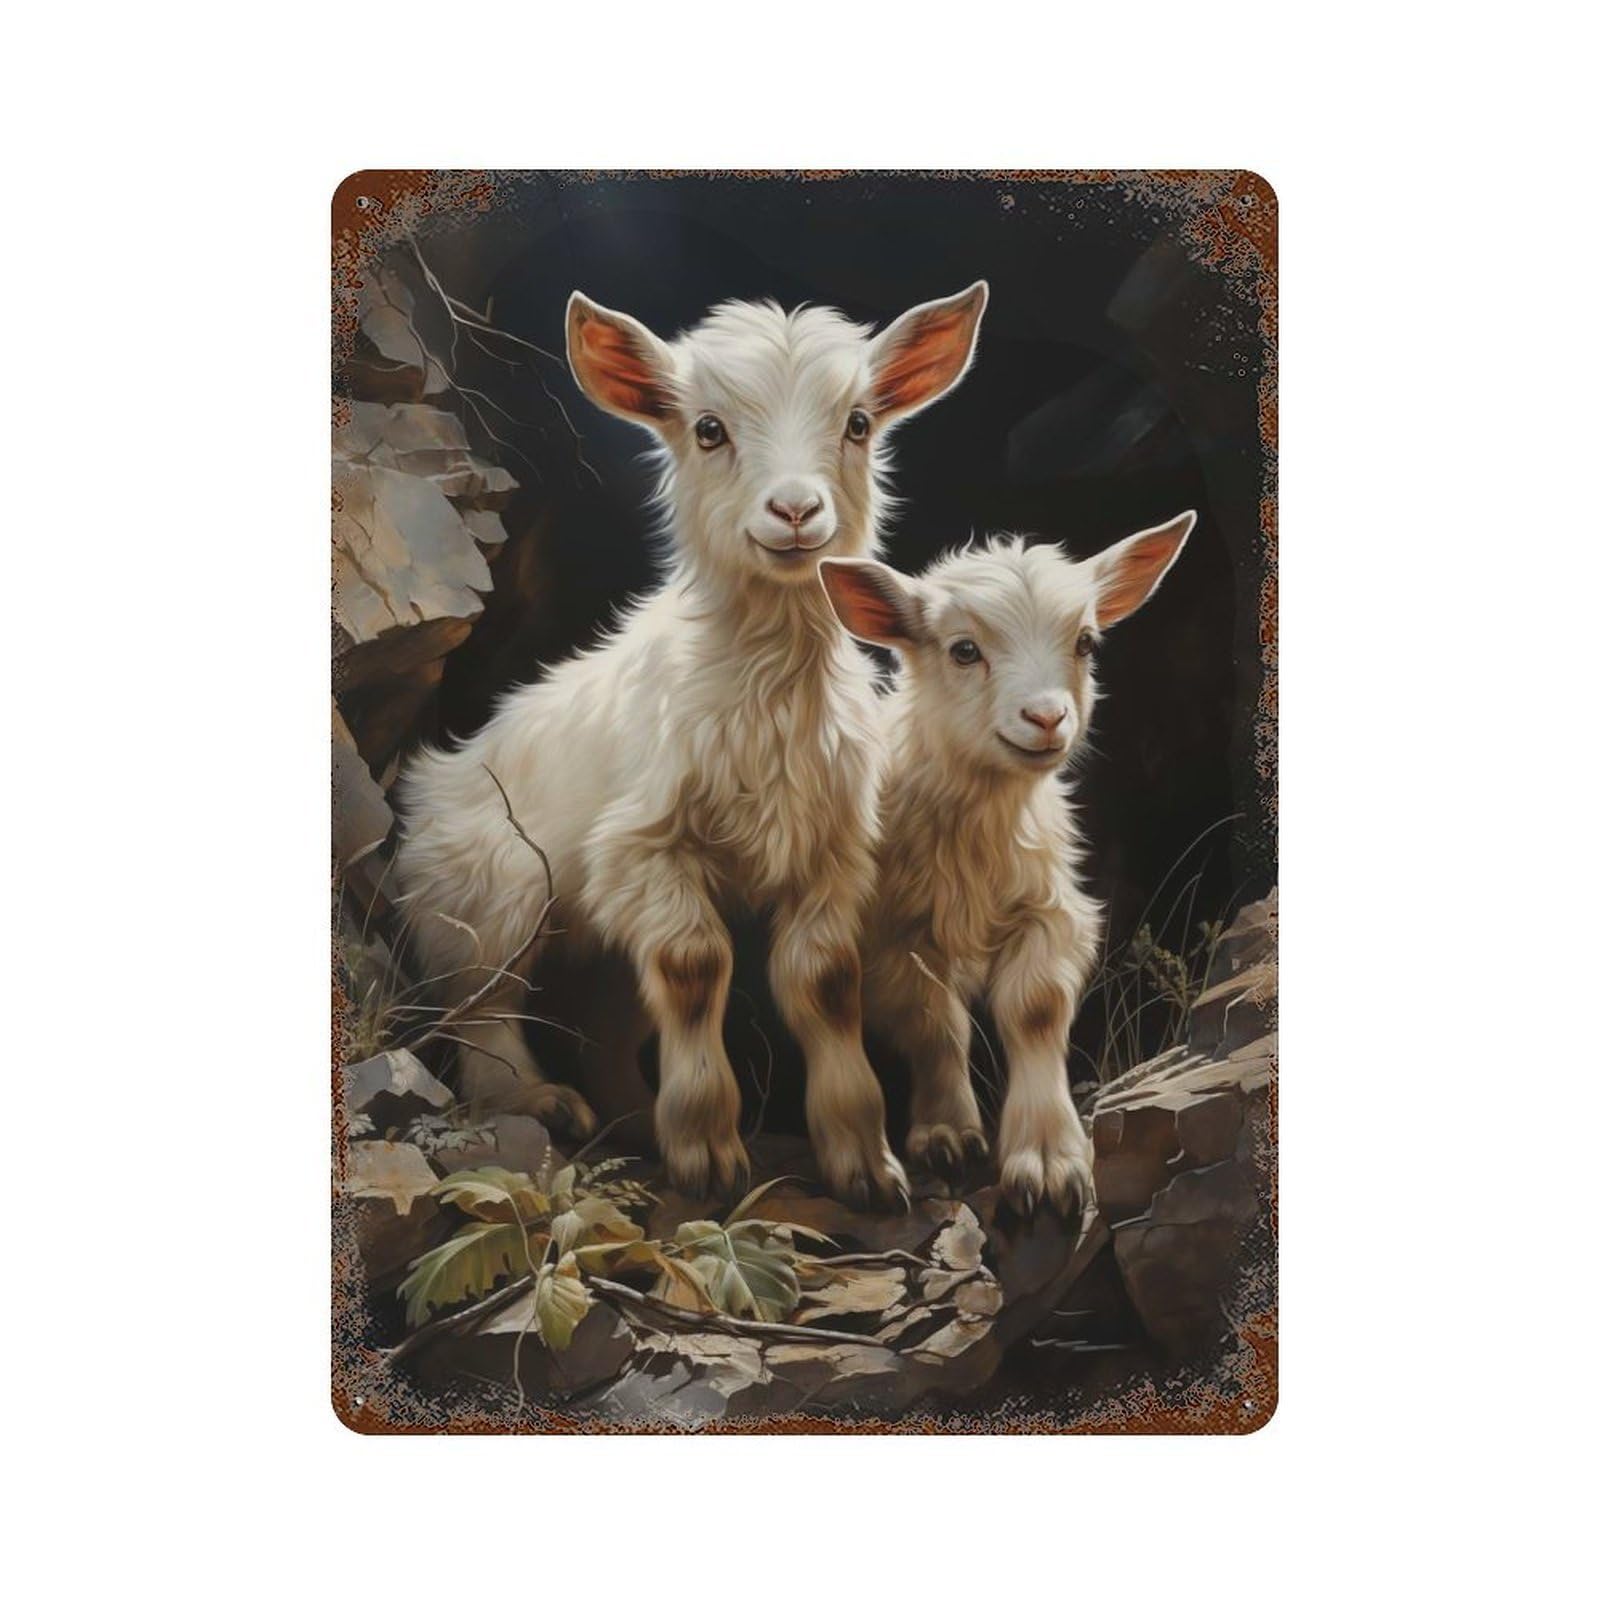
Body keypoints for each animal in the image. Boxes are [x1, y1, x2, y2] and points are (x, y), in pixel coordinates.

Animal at [393, 283, 989, 1206]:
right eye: (708, 429)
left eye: (858, 423)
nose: (795, 511)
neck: (767, 691)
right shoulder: (645, 849)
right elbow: (695, 967)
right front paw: (709, 1151)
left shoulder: (831, 853)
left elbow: (824, 982)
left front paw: (863, 1161)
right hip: (492, 887)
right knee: (481, 1001)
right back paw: (541, 1102)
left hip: (589, 939)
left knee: (603, 1019)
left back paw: (635, 1121)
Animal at [818, 511, 1196, 1216]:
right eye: (963, 650)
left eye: (1085, 642)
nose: (1046, 717)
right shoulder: (895, 931)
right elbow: (933, 1022)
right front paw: (945, 1132)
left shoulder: (1051, 909)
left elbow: (1035, 1008)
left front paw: (1048, 1161)